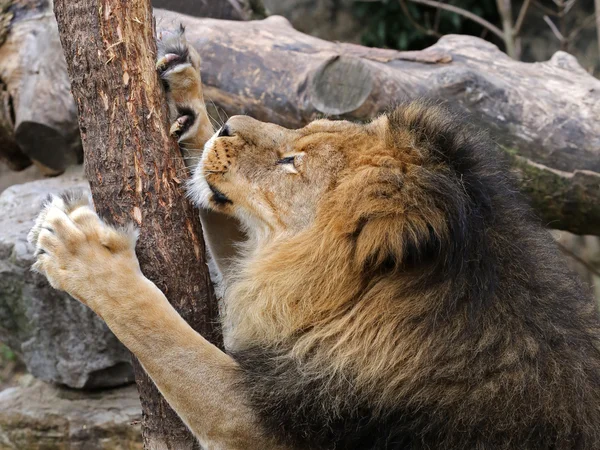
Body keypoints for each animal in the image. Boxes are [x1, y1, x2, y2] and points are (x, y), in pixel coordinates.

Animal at [30, 29, 600, 450]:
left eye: (290, 161)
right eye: (301, 128)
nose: (227, 127)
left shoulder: (267, 423)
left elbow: (162, 332)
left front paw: (84, 256)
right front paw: (190, 104)